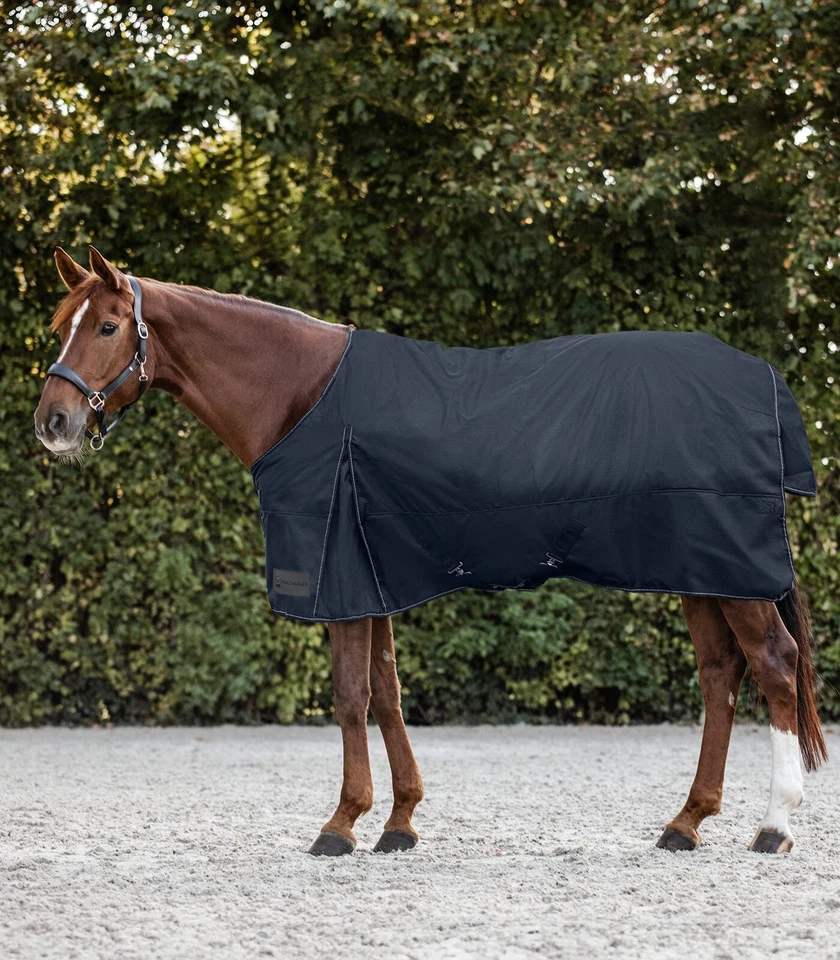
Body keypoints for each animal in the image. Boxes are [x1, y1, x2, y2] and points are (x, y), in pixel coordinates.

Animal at [34, 246, 826, 856]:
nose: (53, 422)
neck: (301, 394)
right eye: (57, 326)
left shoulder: (341, 577)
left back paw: (774, 827)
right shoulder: (370, 574)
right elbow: (386, 694)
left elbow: (350, 696)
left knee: (775, 667)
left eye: (108, 326)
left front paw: (341, 824)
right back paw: (686, 822)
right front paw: (401, 821)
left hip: (734, 573)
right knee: (721, 676)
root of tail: (762, 378)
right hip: (703, 571)